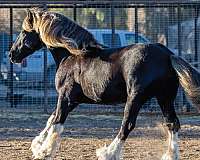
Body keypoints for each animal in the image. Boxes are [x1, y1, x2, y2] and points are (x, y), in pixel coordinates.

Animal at [9, 7, 200, 160]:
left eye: (24, 32)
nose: (12, 55)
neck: (71, 55)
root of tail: (167, 54)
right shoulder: (73, 101)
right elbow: (51, 119)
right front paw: (37, 145)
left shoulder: (65, 97)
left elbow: (57, 121)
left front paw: (45, 151)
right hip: (164, 98)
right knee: (172, 123)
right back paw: (170, 155)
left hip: (136, 98)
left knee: (127, 125)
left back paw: (108, 153)